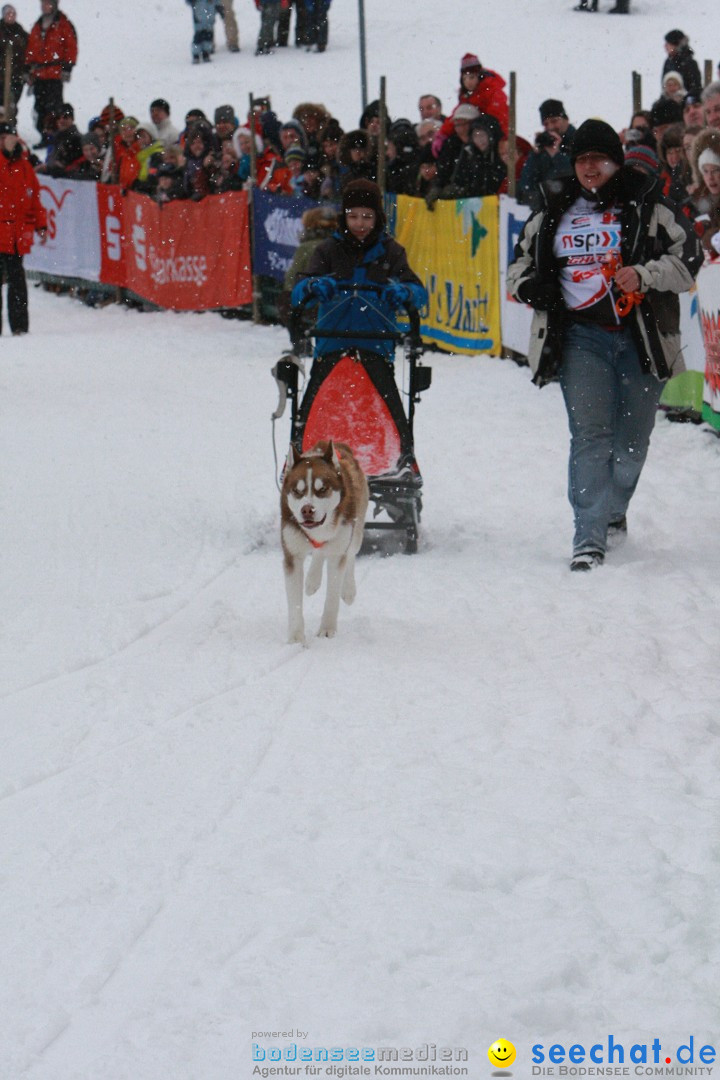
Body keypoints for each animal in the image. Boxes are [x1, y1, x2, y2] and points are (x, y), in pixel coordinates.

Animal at [280, 438, 371, 639]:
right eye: (297, 491)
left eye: (322, 489)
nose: (307, 510)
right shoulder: (292, 553)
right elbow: (295, 602)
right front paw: (296, 637)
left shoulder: (338, 551)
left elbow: (332, 595)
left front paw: (327, 629)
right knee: (320, 552)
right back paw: (312, 580)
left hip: (356, 530)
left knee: (350, 553)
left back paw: (349, 590)